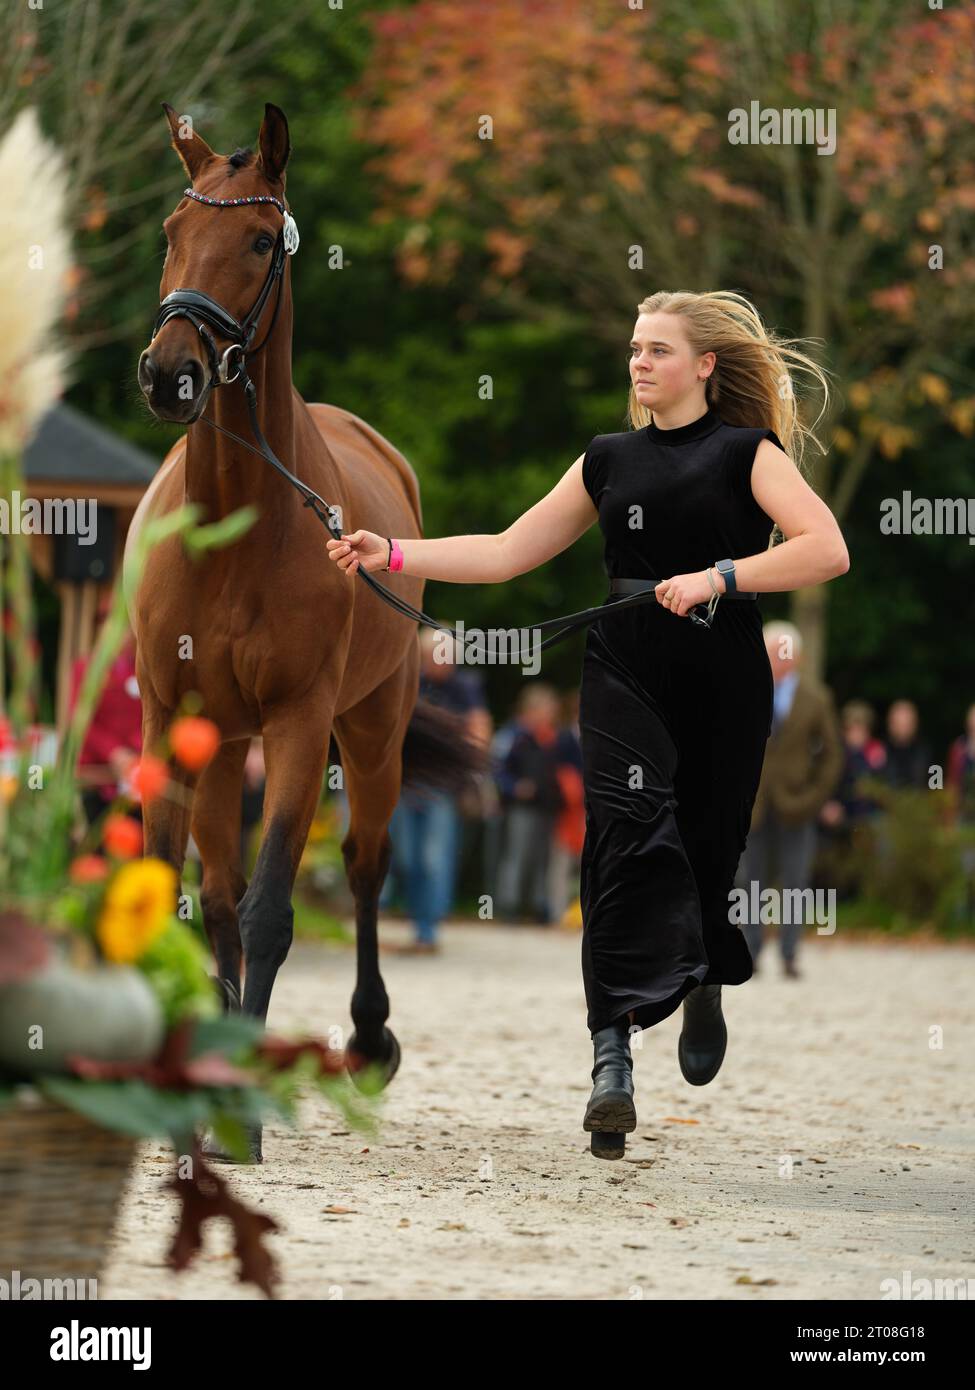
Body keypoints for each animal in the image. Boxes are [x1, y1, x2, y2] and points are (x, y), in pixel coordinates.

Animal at [126, 100, 484, 1162]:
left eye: (256, 240)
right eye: (169, 232)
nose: (169, 375)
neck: (232, 528)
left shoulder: (295, 726)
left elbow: (273, 908)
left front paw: (241, 1118)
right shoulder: (169, 723)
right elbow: (188, 897)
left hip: (367, 737)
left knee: (363, 869)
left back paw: (366, 1042)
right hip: (218, 748)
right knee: (216, 891)